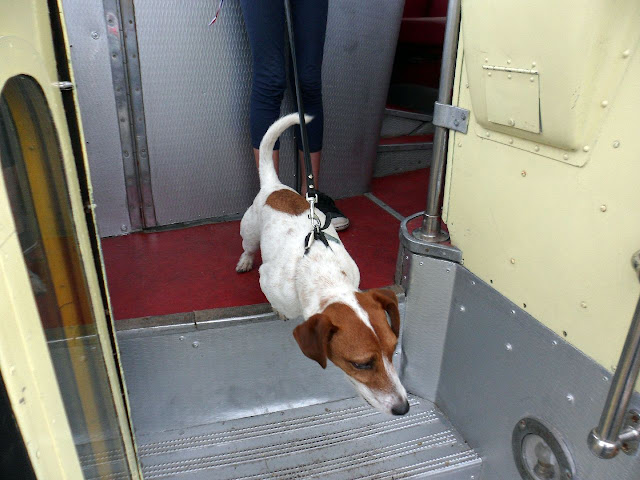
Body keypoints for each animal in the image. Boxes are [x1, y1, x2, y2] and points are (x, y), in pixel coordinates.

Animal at [236, 113, 410, 416]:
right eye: (361, 364)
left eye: (393, 350)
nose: (404, 408)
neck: (322, 271)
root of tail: (274, 187)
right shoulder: (268, 278)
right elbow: (273, 297)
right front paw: (277, 309)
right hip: (249, 231)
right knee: (248, 246)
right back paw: (245, 260)